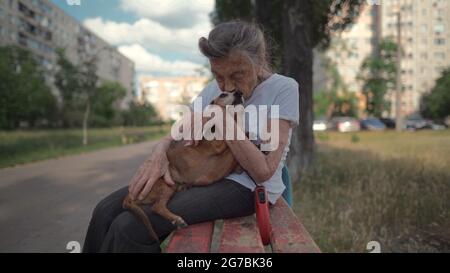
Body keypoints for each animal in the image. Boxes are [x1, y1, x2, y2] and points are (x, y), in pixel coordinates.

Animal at [121, 90, 244, 241]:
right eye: (223, 95)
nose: (239, 92)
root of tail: (129, 196)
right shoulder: (218, 144)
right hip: (166, 186)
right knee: (157, 207)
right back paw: (176, 219)